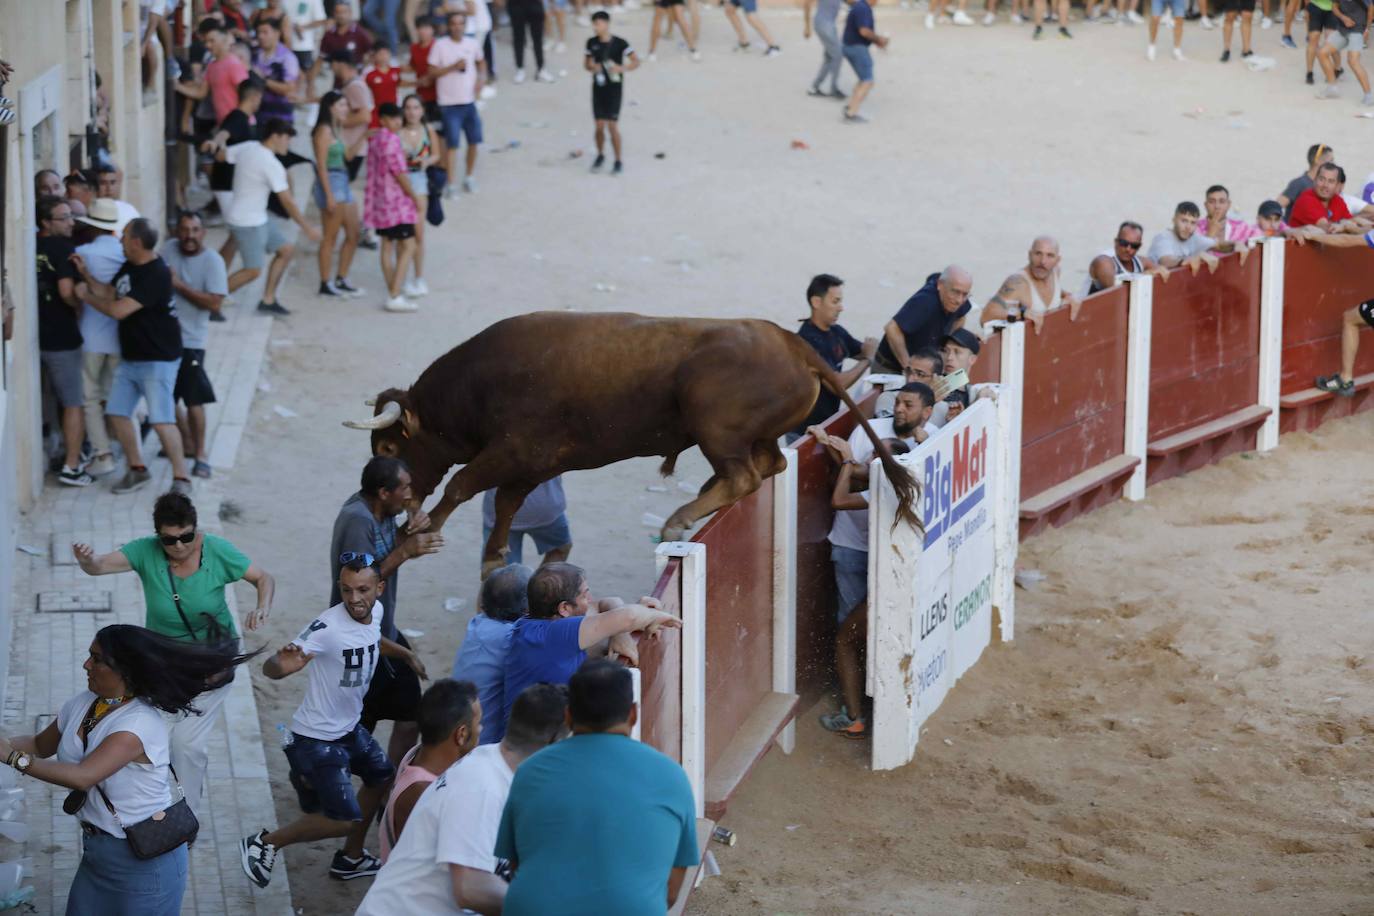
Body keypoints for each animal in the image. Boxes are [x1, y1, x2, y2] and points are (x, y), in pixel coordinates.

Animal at [343, 315, 917, 574]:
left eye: (388, 450)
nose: (396, 501)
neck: (477, 386)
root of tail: (796, 345)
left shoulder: (513, 450)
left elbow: (462, 483)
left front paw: (423, 531)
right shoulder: (533, 464)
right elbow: (504, 503)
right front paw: (493, 558)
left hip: (713, 427)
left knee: (744, 473)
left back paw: (680, 519)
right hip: (753, 433)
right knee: (770, 463)